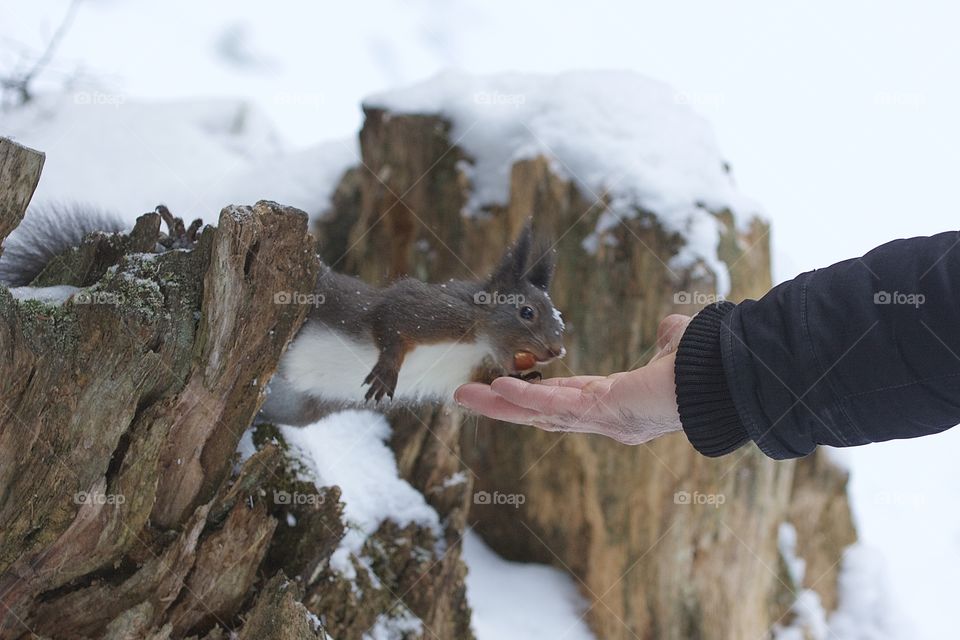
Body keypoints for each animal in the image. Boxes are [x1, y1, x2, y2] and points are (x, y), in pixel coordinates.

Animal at [0, 205, 566, 425]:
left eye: (562, 321)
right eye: (526, 312)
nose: (557, 350)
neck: (476, 342)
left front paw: (529, 379)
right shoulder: (434, 312)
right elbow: (391, 317)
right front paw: (388, 367)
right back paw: (180, 238)